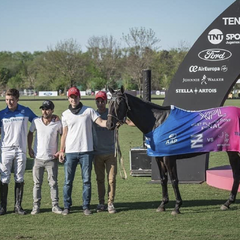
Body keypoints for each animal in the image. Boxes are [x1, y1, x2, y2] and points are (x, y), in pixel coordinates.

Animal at [107, 86, 240, 216]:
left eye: (119, 102)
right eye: (109, 102)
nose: (110, 124)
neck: (157, 122)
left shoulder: (169, 158)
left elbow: (174, 180)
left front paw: (177, 206)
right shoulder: (159, 157)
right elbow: (163, 179)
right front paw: (162, 204)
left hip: (232, 151)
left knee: (236, 173)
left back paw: (227, 202)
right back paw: (228, 202)